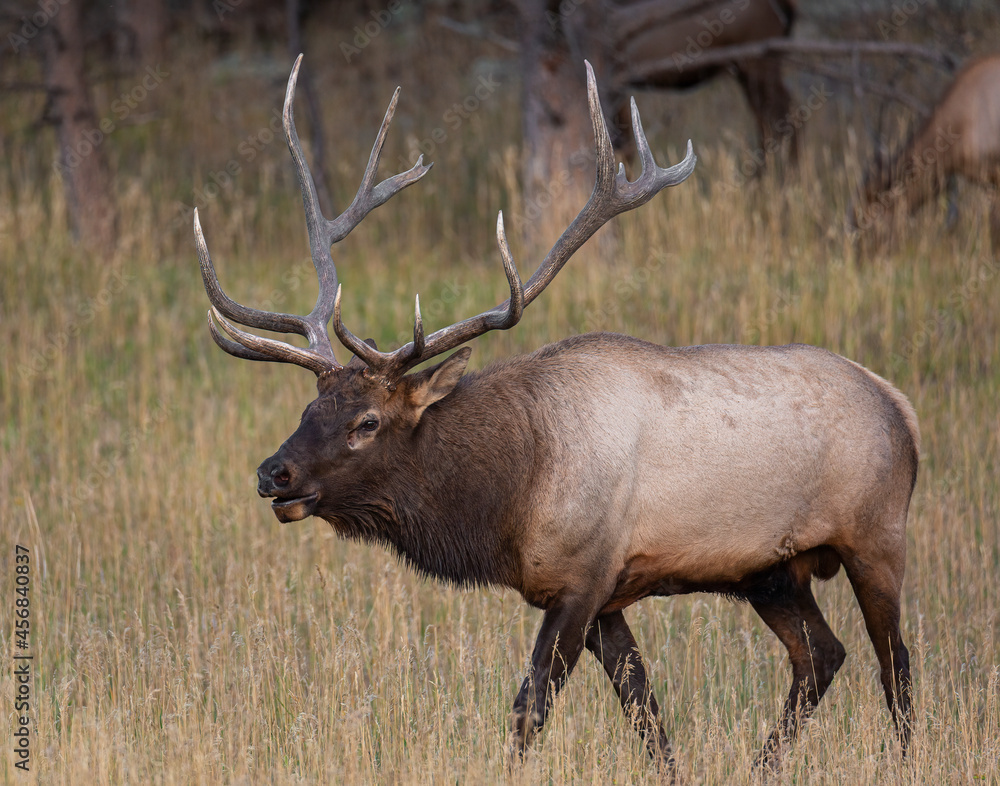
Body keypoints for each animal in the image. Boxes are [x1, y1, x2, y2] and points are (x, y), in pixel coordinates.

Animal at [195, 55, 918, 778]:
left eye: (367, 422)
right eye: (310, 406)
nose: (273, 473)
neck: (511, 490)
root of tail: (900, 406)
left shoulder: (583, 578)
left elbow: (530, 708)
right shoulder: (602, 596)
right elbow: (645, 713)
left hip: (875, 536)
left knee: (896, 666)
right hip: (771, 572)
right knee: (822, 655)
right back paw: (762, 765)